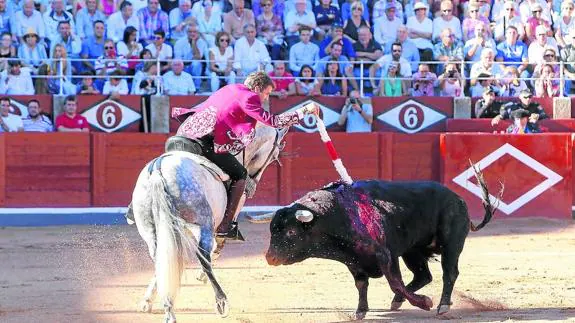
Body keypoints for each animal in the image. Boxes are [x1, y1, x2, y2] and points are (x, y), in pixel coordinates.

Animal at [130, 125, 288, 322]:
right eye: (274, 155)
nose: (251, 187)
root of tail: (159, 172)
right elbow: (217, 246)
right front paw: (202, 276)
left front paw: (148, 300)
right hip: (203, 222)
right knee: (203, 256)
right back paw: (221, 300)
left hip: (151, 229)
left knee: (159, 255)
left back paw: (169, 309)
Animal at [268, 173, 498, 320]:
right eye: (272, 231)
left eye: (291, 232)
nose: (270, 257)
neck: (339, 214)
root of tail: (457, 198)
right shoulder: (354, 261)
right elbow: (362, 285)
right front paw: (360, 311)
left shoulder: (385, 256)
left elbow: (394, 282)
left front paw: (425, 303)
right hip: (412, 251)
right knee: (423, 275)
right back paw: (398, 302)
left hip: (451, 245)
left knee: (449, 273)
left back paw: (442, 305)